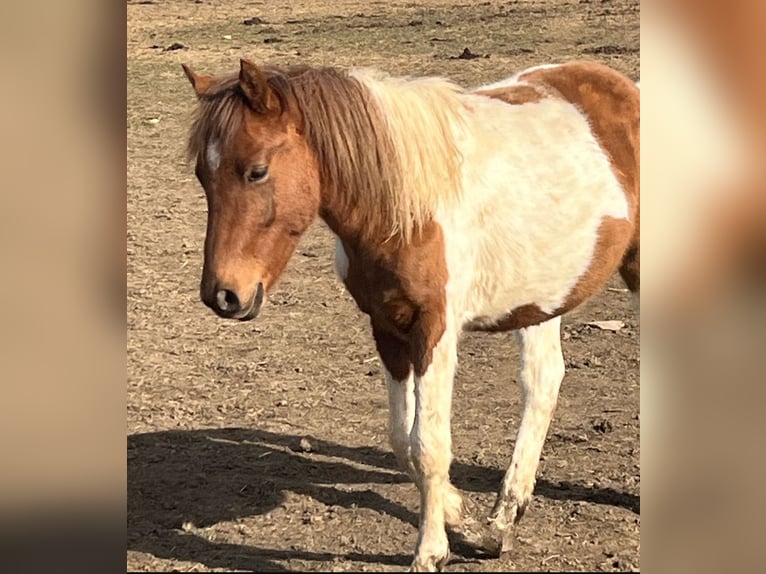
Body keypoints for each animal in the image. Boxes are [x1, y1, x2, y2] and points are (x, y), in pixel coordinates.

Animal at [181, 58, 640, 571]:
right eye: (202, 175)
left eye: (256, 171)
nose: (223, 295)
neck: (405, 209)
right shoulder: (387, 328)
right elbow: (404, 441)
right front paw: (465, 521)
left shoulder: (434, 331)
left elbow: (430, 444)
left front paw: (430, 551)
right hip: (541, 297)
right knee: (542, 383)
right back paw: (504, 517)